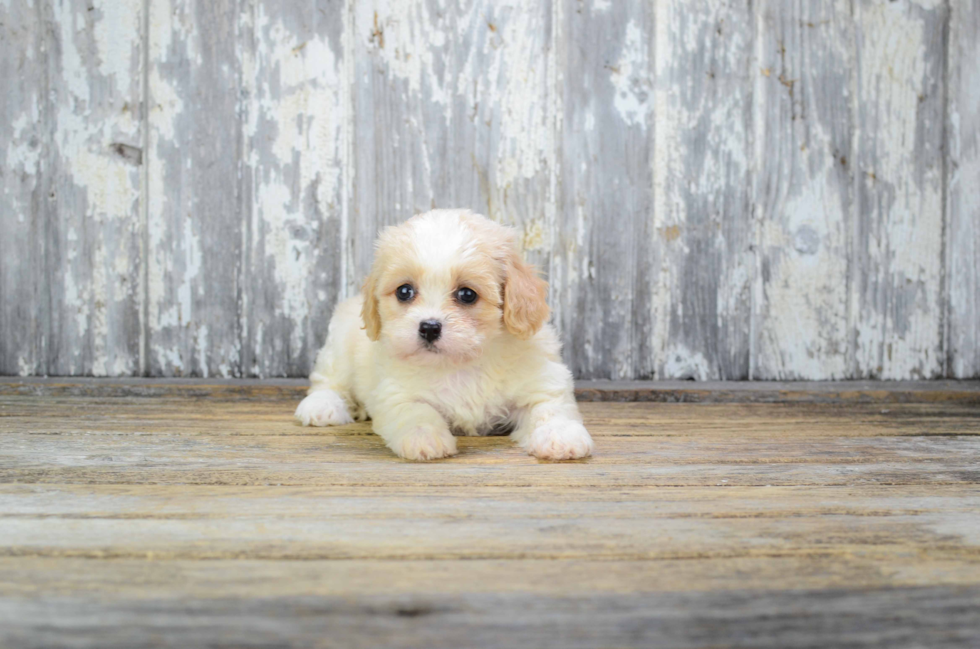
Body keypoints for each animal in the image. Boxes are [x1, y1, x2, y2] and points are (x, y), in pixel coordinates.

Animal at [294, 208, 592, 460]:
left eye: (467, 294)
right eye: (404, 291)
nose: (429, 327)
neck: (461, 363)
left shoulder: (541, 381)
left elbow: (549, 408)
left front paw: (560, 436)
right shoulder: (396, 391)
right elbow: (416, 411)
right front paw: (424, 438)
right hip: (339, 348)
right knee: (328, 381)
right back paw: (321, 406)